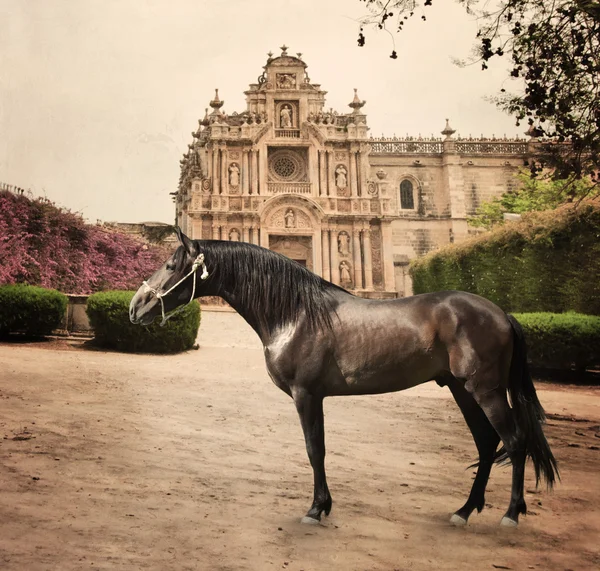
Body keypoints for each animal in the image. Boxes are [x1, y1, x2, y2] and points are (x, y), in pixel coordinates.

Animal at [130, 227, 556, 528]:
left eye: (171, 265)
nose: (137, 306)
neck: (296, 314)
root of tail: (501, 313)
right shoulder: (313, 396)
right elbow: (317, 449)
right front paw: (323, 505)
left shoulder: (306, 395)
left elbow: (313, 450)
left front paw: (316, 509)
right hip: (462, 390)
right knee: (487, 444)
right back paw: (464, 511)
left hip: (486, 391)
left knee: (514, 441)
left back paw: (510, 515)